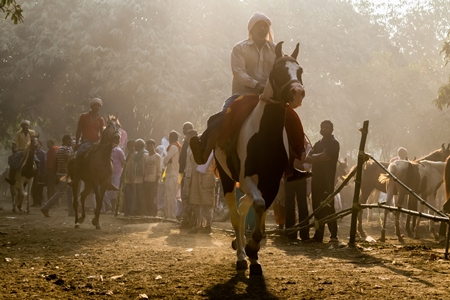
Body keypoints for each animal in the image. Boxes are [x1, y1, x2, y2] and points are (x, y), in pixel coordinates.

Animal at [214, 41, 306, 276]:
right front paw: (248, 250)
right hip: (227, 180)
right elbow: (257, 204)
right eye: (279, 70)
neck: (265, 135)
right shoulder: (245, 178)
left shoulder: (272, 182)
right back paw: (240, 257)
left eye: (299, 70)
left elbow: (261, 208)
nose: (297, 93)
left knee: (244, 206)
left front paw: (254, 252)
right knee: (236, 216)